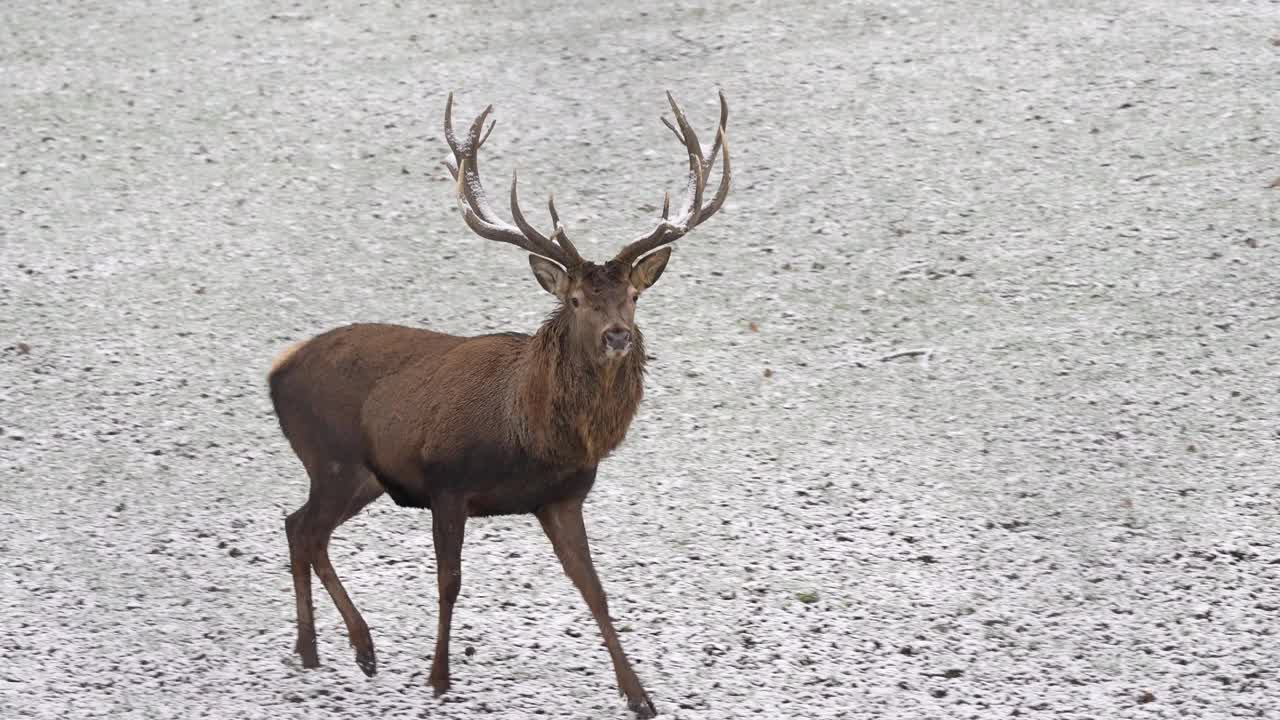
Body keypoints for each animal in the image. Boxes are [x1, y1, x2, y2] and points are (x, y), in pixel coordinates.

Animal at [267, 88, 732, 712]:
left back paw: (332, 650)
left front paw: (639, 697)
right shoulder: (446, 483)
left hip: (362, 476)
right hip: (332, 457)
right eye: (577, 300)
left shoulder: (562, 497)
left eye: (633, 296)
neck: (527, 436)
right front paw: (439, 678)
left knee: (301, 527)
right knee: (305, 529)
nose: (618, 336)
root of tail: (277, 369)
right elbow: (449, 584)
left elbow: (596, 590)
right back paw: (343, 648)